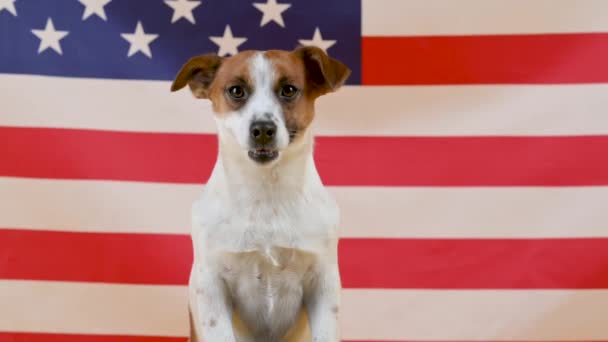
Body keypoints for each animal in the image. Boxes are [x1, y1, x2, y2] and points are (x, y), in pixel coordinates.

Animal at [171, 46, 352, 342]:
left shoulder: (322, 282)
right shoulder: (212, 286)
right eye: (236, 91)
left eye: (289, 90)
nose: (263, 129)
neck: (266, 192)